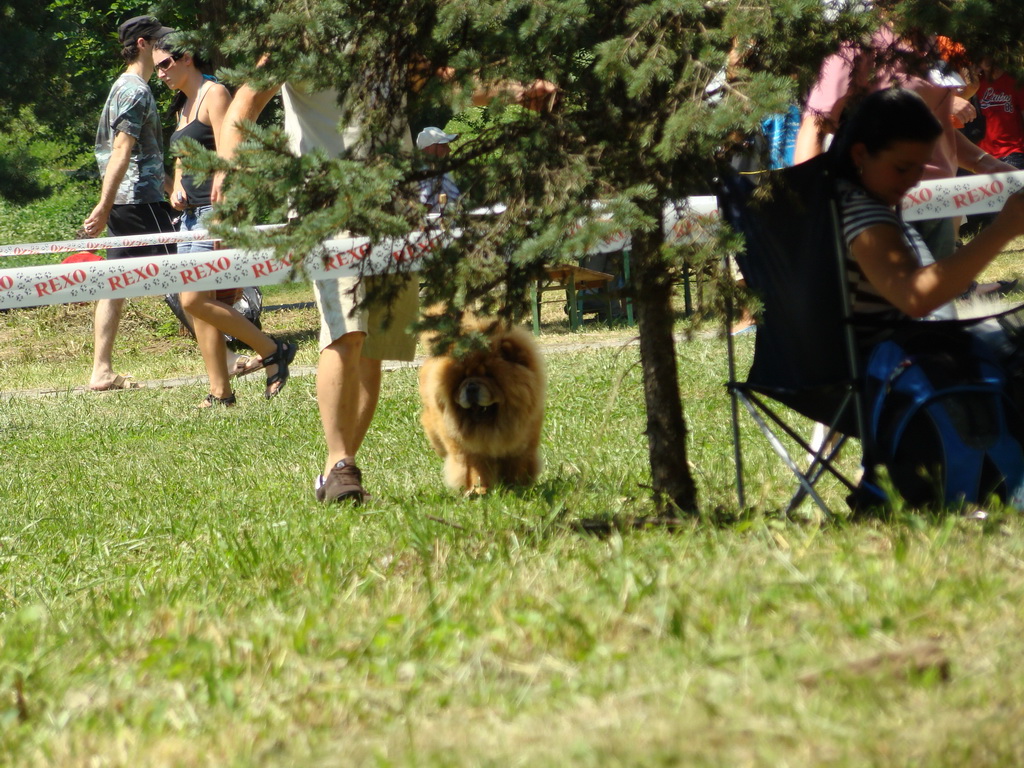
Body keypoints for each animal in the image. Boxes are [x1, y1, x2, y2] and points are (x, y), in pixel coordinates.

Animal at [417, 317, 548, 493]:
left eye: (489, 375)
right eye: (462, 378)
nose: (471, 386)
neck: (492, 427)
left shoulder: (521, 447)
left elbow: (517, 467)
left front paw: (517, 488)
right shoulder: (471, 450)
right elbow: (476, 471)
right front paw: (480, 490)